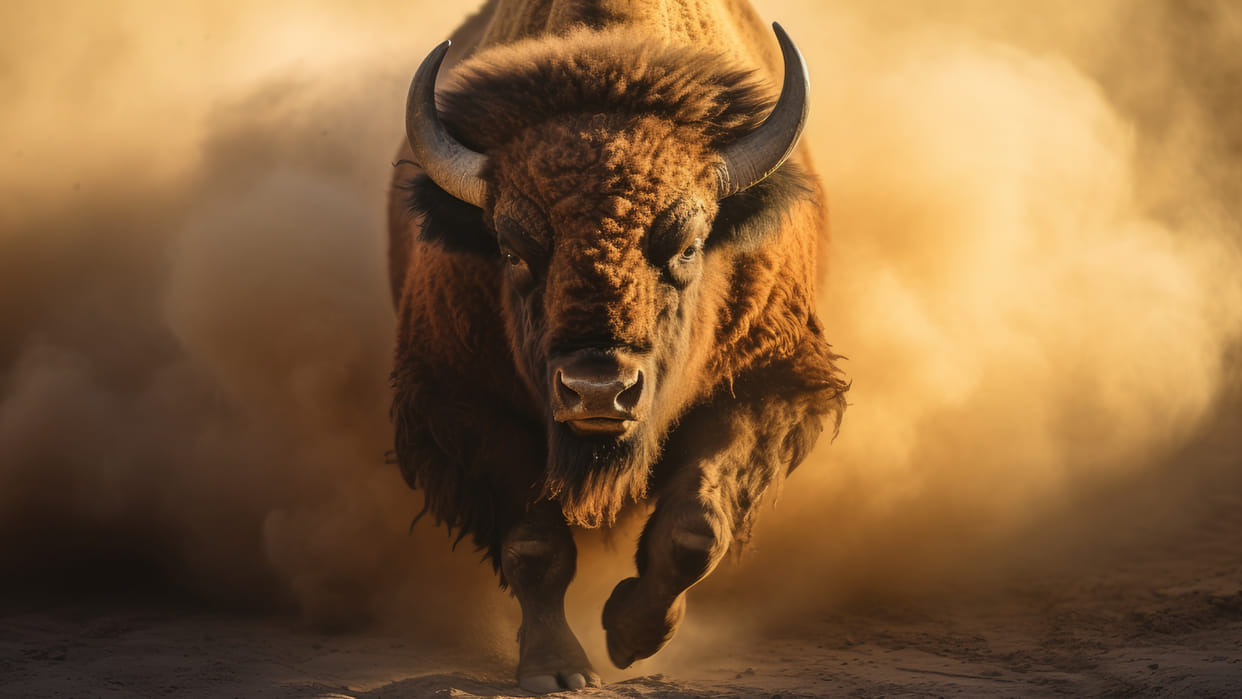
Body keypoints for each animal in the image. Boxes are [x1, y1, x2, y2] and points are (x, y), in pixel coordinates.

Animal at [387, 0, 847, 691]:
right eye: (511, 249)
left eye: (688, 245)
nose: (598, 391)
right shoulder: (463, 400)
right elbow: (534, 547)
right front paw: (558, 670)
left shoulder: (767, 386)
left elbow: (695, 530)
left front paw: (630, 634)